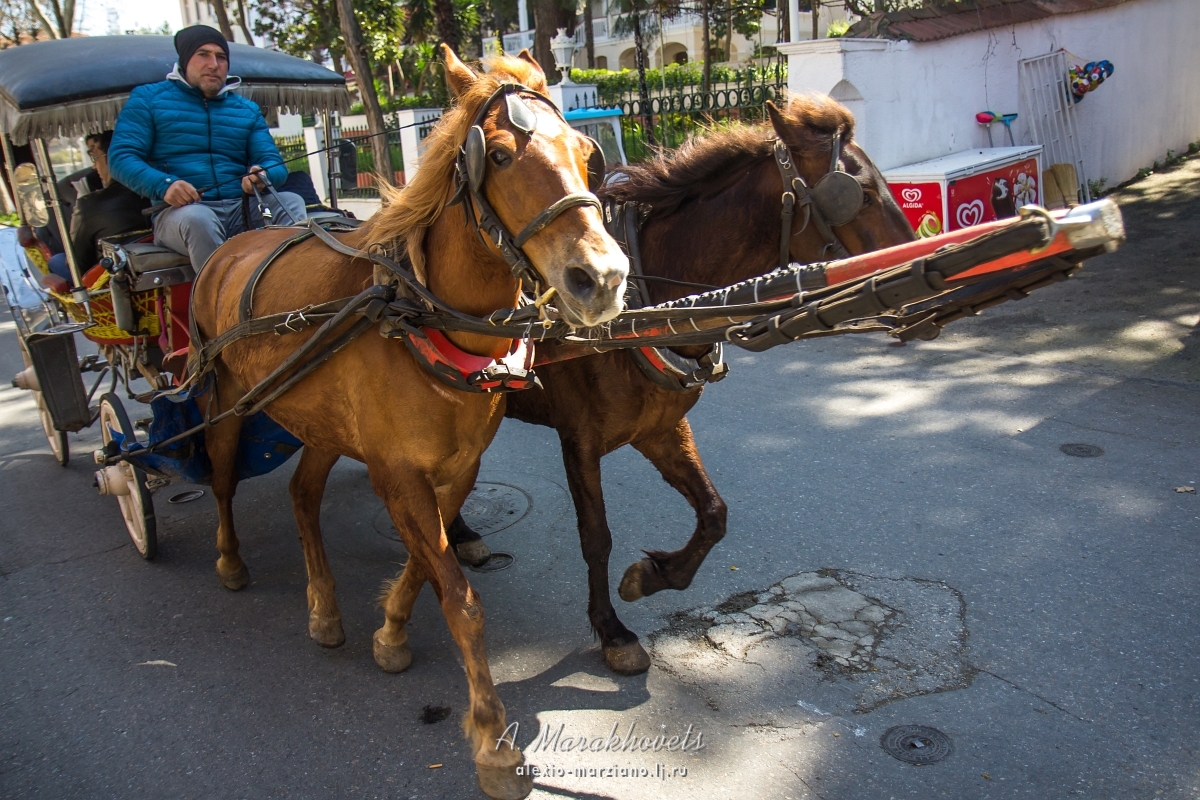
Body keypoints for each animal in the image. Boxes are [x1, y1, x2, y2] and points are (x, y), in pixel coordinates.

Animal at [192, 50, 624, 800]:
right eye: (499, 155)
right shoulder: (397, 472)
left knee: (303, 494)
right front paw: (493, 741)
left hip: (320, 423)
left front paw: (390, 632)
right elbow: (460, 596)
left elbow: (430, 565)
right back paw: (230, 560)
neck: (422, 316)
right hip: (229, 399)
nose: (600, 278)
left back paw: (324, 608)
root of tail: (235, 239)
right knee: (220, 478)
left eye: (585, 153)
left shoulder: (454, 468)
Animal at [470, 95, 916, 676]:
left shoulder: (660, 427)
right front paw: (611, 629)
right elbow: (596, 536)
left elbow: (714, 513)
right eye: (857, 192)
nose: (915, 256)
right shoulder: (579, 440)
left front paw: (653, 577)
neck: (643, 306)